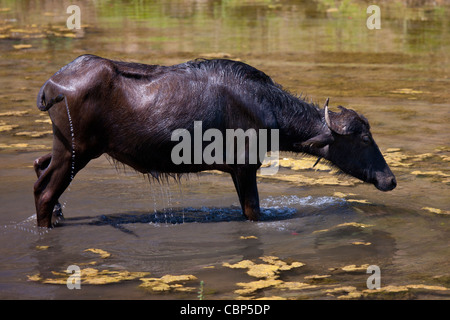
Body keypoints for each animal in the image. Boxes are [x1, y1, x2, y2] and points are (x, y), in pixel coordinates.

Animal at [33, 56, 396, 229]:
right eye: (364, 138)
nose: (389, 180)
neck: (265, 105)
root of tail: (53, 84)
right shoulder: (245, 167)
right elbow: (253, 211)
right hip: (78, 151)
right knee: (45, 192)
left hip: (64, 147)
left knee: (39, 167)